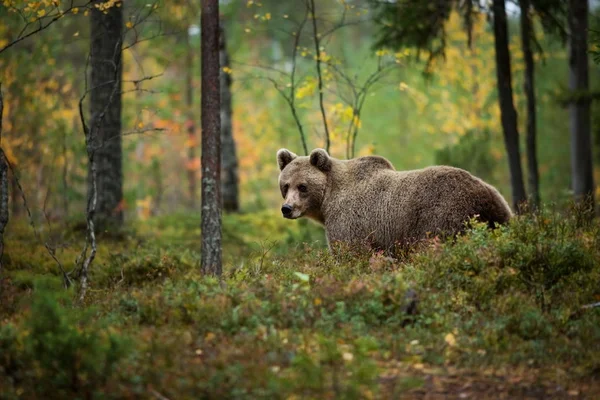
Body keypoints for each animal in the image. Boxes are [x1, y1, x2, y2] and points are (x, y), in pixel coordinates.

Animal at [276, 148, 510, 252]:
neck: (326, 203)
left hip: (442, 218)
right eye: (285, 185)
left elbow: (350, 252)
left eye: (303, 186)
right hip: (499, 216)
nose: (287, 208)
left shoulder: (348, 222)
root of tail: (485, 194)